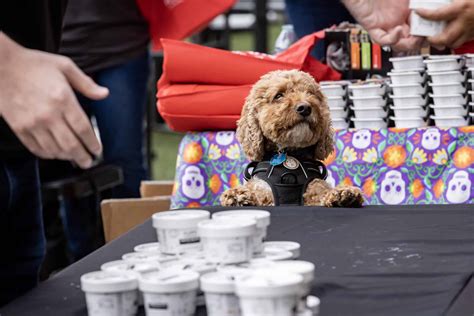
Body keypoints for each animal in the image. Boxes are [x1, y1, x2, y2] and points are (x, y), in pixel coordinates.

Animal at [220, 69, 364, 207]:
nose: (305, 108)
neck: (289, 152)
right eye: (279, 95)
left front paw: (342, 193)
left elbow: (321, 191)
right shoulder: (263, 187)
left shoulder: (313, 185)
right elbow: (257, 193)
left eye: (310, 94)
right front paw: (238, 195)